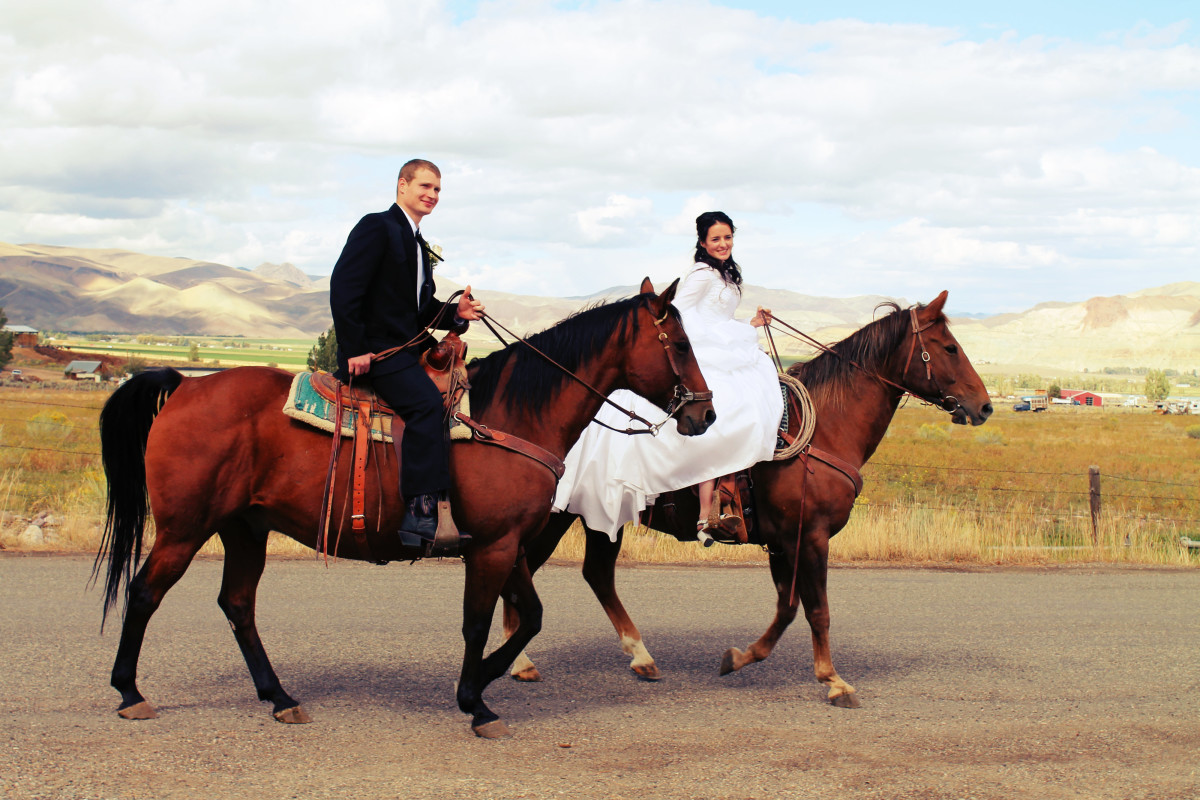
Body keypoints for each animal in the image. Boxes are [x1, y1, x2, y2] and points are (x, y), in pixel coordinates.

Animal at [98, 280, 710, 738]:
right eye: (680, 344)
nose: (704, 415)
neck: (510, 414)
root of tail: (184, 386)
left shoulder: (508, 542)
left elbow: (531, 617)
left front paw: (485, 681)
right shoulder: (492, 548)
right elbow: (477, 622)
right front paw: (474, 700)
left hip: (244, 527)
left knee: (237, 604)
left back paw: (280, 697)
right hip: (185, 528)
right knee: (145, 592)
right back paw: (130, 692)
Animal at [501, 289, 988, 705]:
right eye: (949, 347)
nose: (983, 406)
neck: (824, 428)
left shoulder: (784, 540)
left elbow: (787, 607)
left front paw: (740, 658)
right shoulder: (809, 537)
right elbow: (817, 610)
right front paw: (833, 680)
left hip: (601, 517)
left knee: (595, 573)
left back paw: (638, 657)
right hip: (559, 516)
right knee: (529, 569)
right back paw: (521, 659)